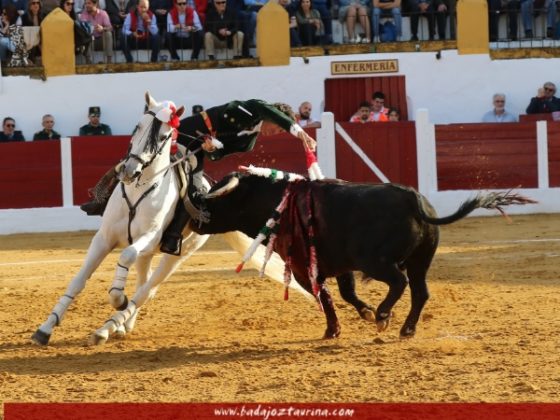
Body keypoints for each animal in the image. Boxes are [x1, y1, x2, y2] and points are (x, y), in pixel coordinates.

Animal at [189, 172, 532, 340]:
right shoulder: (341, 265)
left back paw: (383, 316)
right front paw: (363, 313)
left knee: (399, 282)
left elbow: (324, 295)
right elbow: (345, 293)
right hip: (420, 261)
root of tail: (412, 198)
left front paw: (334, 329)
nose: (192, 218)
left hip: (376, 262)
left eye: (215, 199)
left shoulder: (304, 267)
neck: (276, 202)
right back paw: (406, 329)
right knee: (420, 291)